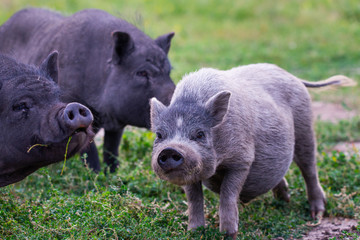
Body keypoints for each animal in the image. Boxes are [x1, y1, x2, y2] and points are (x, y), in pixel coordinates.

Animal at [0, 7, 176, 172]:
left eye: (168, 71)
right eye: (142, 73)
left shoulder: (116, 125)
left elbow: (111, 149)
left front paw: (112, 173)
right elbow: (89, 149)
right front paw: (95, 174)